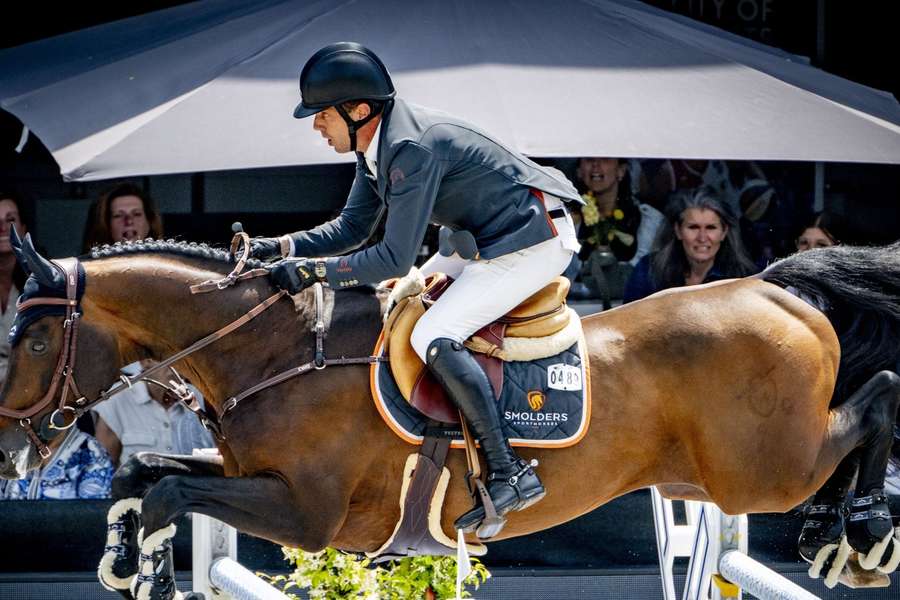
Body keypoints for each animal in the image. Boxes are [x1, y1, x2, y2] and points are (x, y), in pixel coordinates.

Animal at [0, 236, 896, 600]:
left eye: (35, 336)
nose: (10, 450)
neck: (275, 351)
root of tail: (774, 287)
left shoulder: (309, 515)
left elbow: (163, 491)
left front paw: (142, 561)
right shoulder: (254, 478)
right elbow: (140, 471)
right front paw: (127, 560)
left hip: (762, 471)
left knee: (878, 392)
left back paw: (860, 532)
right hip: (724, 476)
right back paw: (834, 533)